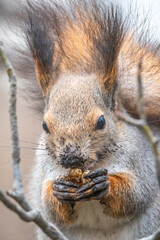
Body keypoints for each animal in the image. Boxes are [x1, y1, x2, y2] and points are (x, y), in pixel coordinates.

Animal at [9, 0, 160, 240]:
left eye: (101, 122)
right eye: (45, 125)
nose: (71, 156)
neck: (94, 164)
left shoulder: (141, 162)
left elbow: (135, 194)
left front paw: (104, 185)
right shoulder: (45, 170)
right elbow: (50, 207)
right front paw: (59, 191)